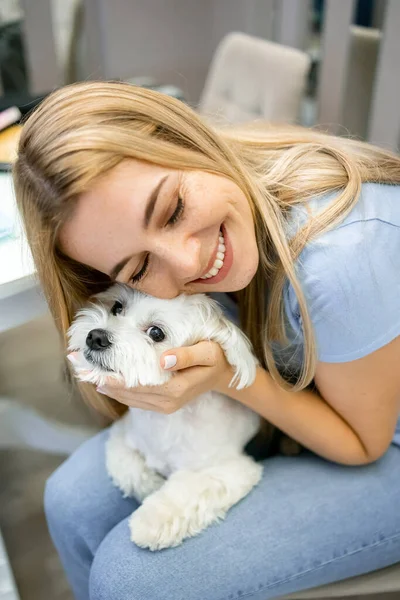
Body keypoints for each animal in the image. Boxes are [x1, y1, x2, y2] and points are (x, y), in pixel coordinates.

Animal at [68, 284, 262, 552]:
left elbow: (186, 493)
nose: (96, 336)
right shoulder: (123, 433)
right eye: (117, 307)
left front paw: (150, 521)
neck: (164, 422)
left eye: (156, 333)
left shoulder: (229, 468)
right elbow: (127, 468)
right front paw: (152, 484)